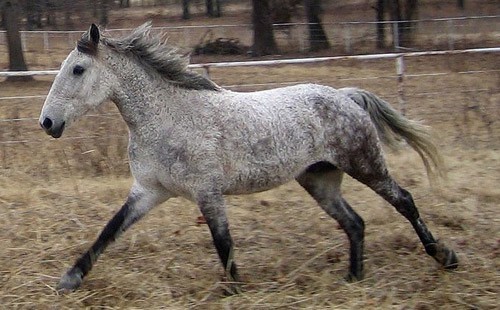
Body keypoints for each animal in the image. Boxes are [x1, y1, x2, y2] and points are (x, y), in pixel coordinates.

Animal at [39, 23, 458, 292]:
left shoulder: (207, 193)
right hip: (319, 180)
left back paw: (445, 256)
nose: (47, 122)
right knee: (354, 223)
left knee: (404, 200)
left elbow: (223, 242)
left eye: (78, 69)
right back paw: (353, 278)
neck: (169, 117)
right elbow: (109, 230)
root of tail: (345, 96)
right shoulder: (148, 191)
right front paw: (70, 279)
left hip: (365, 164)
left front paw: (236, 289)